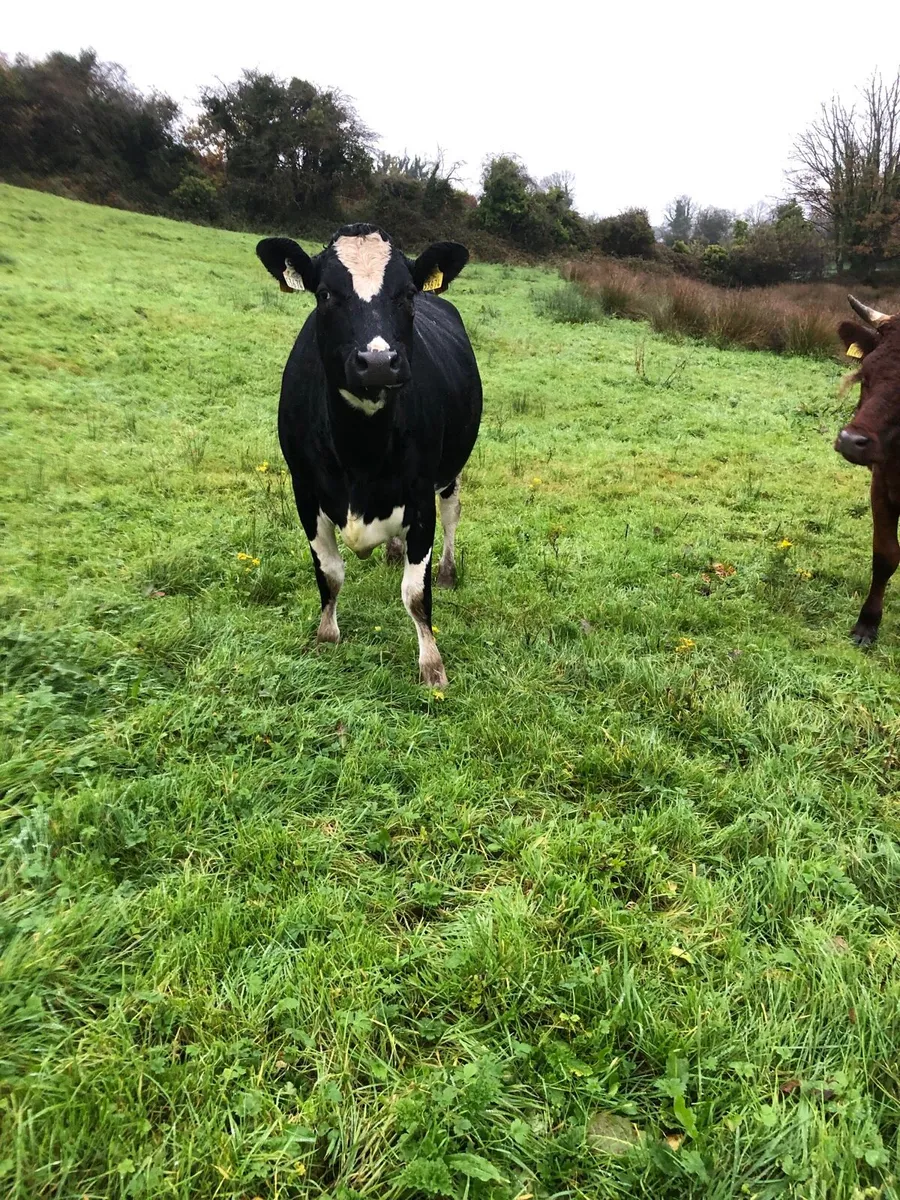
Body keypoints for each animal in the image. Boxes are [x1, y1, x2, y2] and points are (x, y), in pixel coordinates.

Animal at [256, 223, 482, 687]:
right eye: (325, 294)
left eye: (407, 294)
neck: (360, 452)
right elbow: (329, 572)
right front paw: (326, 635)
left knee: (452, 514)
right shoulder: (304, 489)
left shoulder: (420, 494)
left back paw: (448, 572)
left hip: (451, 469)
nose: (377, 362)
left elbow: (415, 593)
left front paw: (432, 664)